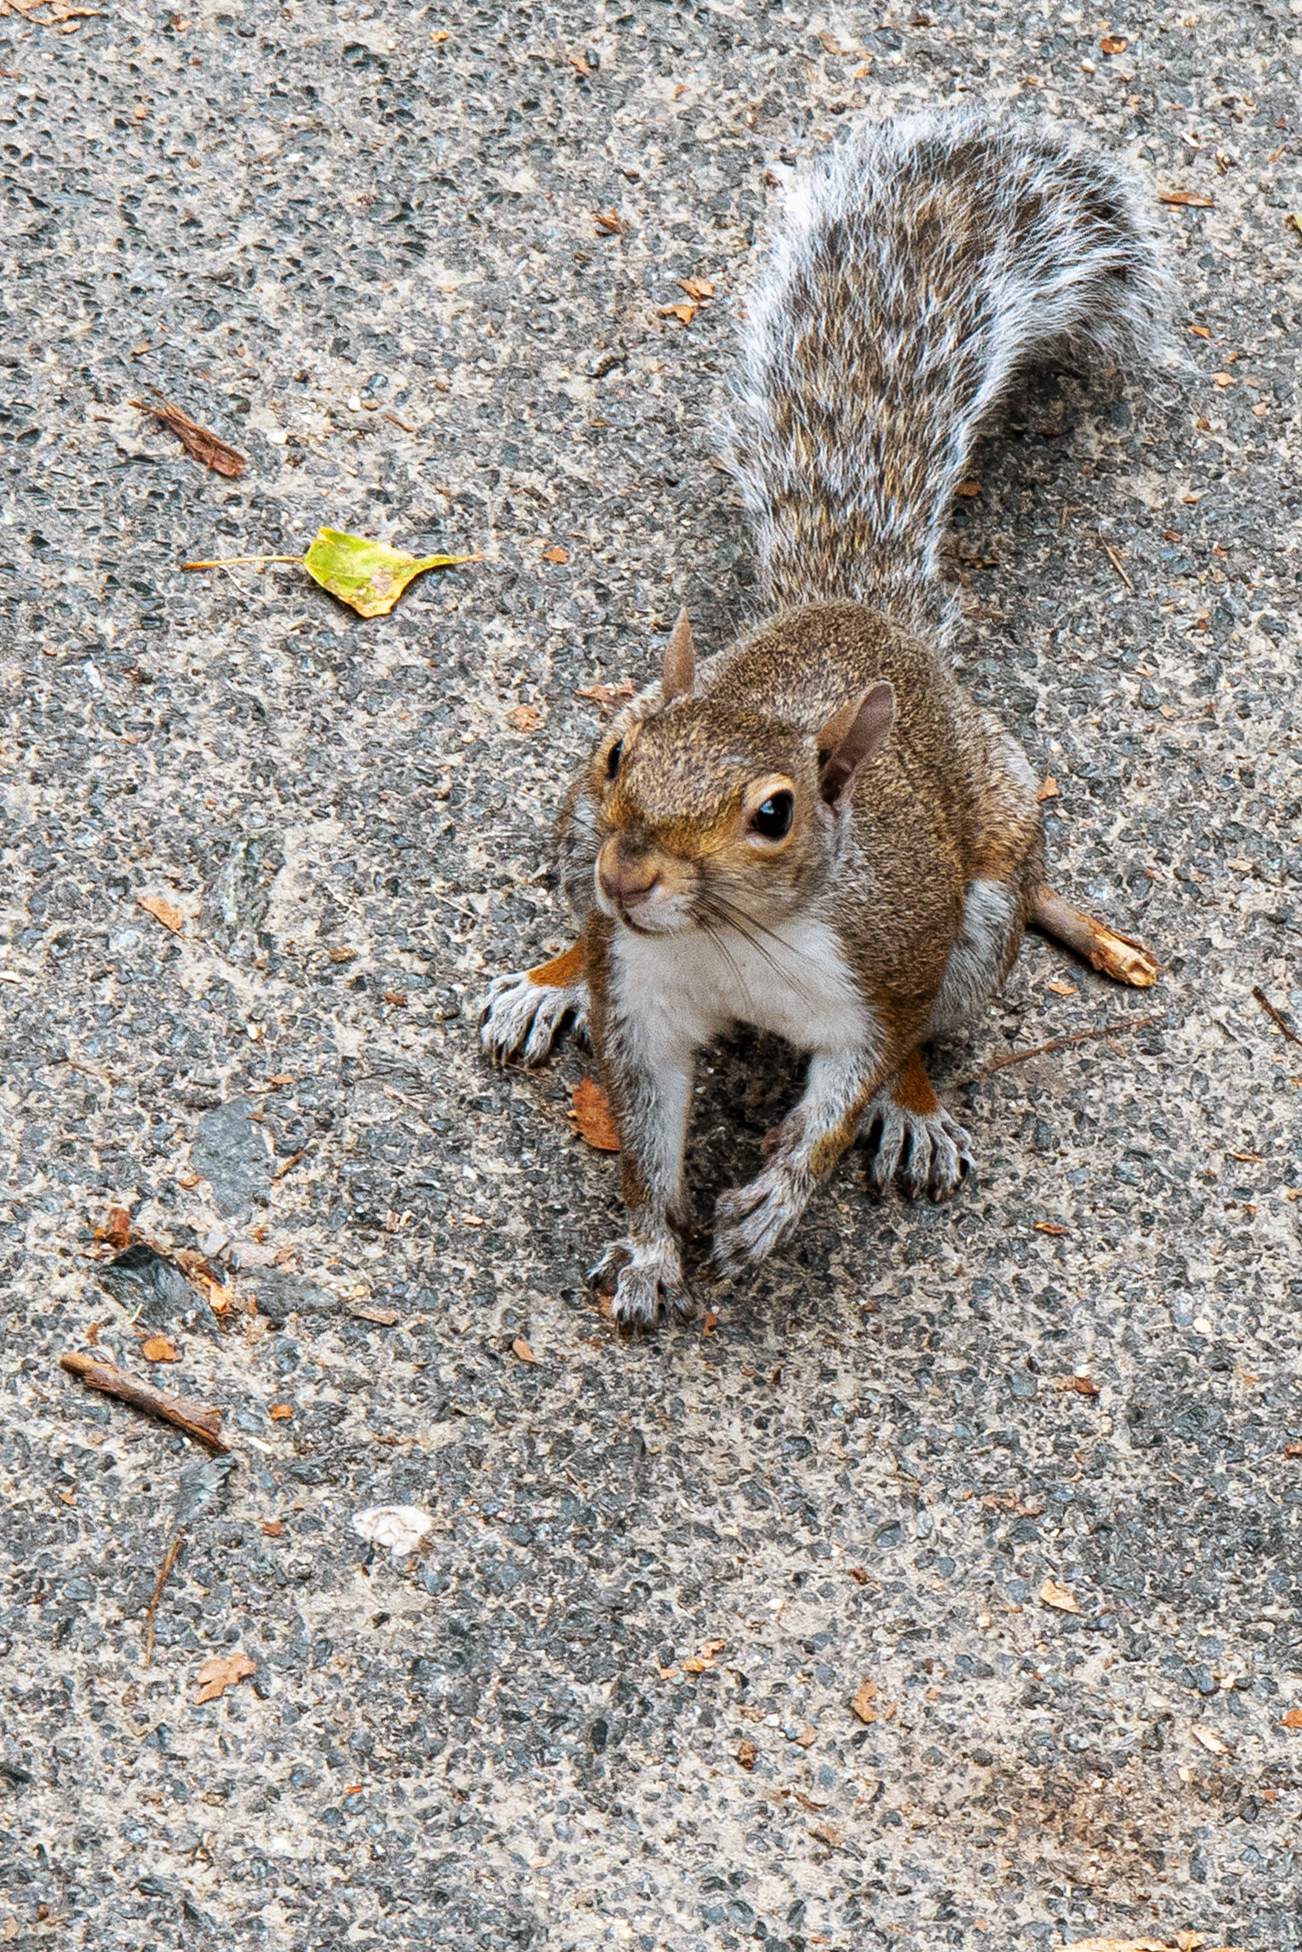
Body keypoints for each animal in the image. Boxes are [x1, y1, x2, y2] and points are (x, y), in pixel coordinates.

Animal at [480, 108, 1164, 1327]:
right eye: (620, 751)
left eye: (776, 813)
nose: (628, 876)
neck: (728, 941)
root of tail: (857, 610)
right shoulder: (642, 1002)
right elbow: (643, 1137)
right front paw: (650, 1247)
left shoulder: (885, 967)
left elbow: (851, 1089)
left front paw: (779, 1197)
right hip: (568, 839)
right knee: (577, 935)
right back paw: (548, 982)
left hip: (985, 910)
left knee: (934, 1030)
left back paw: (920, 1111)